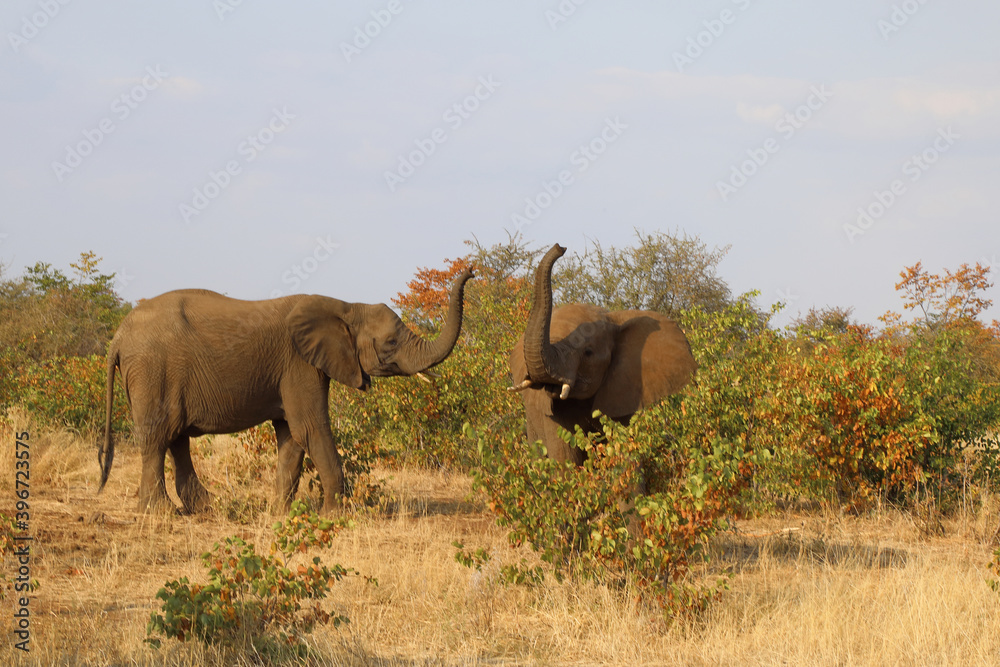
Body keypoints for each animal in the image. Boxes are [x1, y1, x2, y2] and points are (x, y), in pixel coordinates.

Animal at [99, 268, 474, 516]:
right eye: (391, 342)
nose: (471, 270)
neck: (346, 305)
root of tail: (118, 337)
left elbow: (292, 437)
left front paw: (279, 514)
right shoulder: (299, 364)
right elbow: (311, 429)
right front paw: (335, 516)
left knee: (176, 439)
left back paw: (205, 508)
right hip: (152, 371)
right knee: (157, 438)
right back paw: (159, 513)